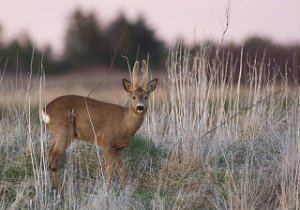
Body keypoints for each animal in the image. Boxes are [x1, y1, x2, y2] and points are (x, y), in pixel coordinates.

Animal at [42, 60, 159, 190]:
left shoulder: (120, 147)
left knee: (49, 153)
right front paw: (106, 189)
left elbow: (121, 167)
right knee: (54, 156)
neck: (124, 123)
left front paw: (122, 188)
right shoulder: (107, 142)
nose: (140, 107)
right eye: (133, 97)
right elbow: (109, 168)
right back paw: (57, 189)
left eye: (146, 97)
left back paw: (53, 187)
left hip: (59, 132)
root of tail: (46, 110)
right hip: (64, 130)